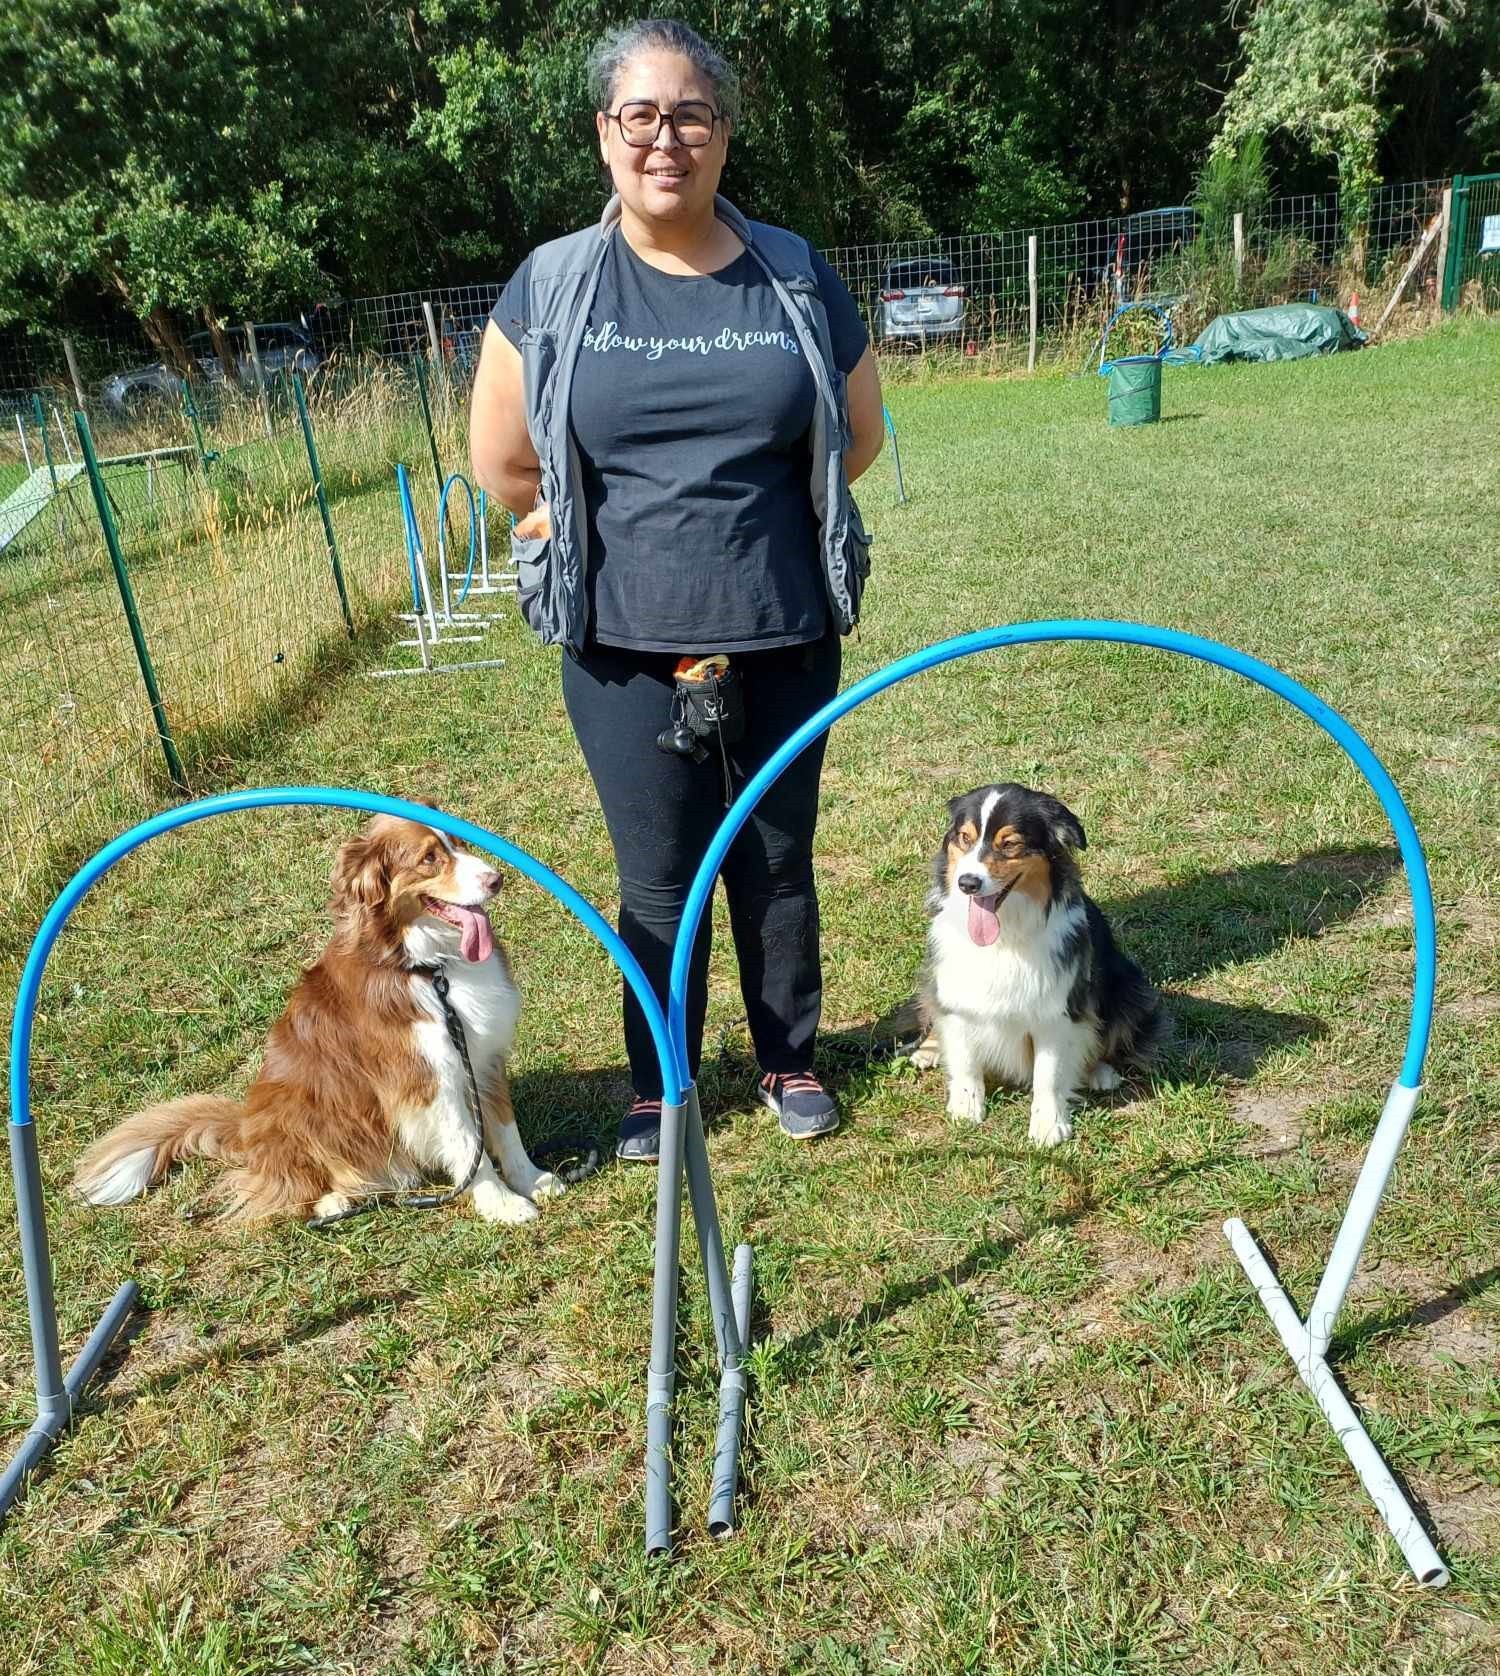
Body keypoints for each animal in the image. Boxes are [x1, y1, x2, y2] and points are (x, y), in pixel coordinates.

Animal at [73, 814, 559, 1226]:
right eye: (428, 858)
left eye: (458, 843)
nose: (497, 879)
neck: (428, 966)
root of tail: (244, 1130)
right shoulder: (427, 1081)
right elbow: (467, 1144)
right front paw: (502, 1203)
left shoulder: (483, 1057)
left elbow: (504, 1128)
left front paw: (531, 1178)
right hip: (301, 1110)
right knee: (284, 1191)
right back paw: (335, 1200)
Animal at [911, 784, 1166, 1153]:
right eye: (964, 838)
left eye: (1010, 844)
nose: (967, 883)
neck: (1004, 937)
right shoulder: (957, 995)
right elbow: (966, 1061)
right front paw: (966, 1109)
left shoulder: (1055, 1011)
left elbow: (1049, 1074)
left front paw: (1048, 1126)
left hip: (1129, 986)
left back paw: (1100, 1072)